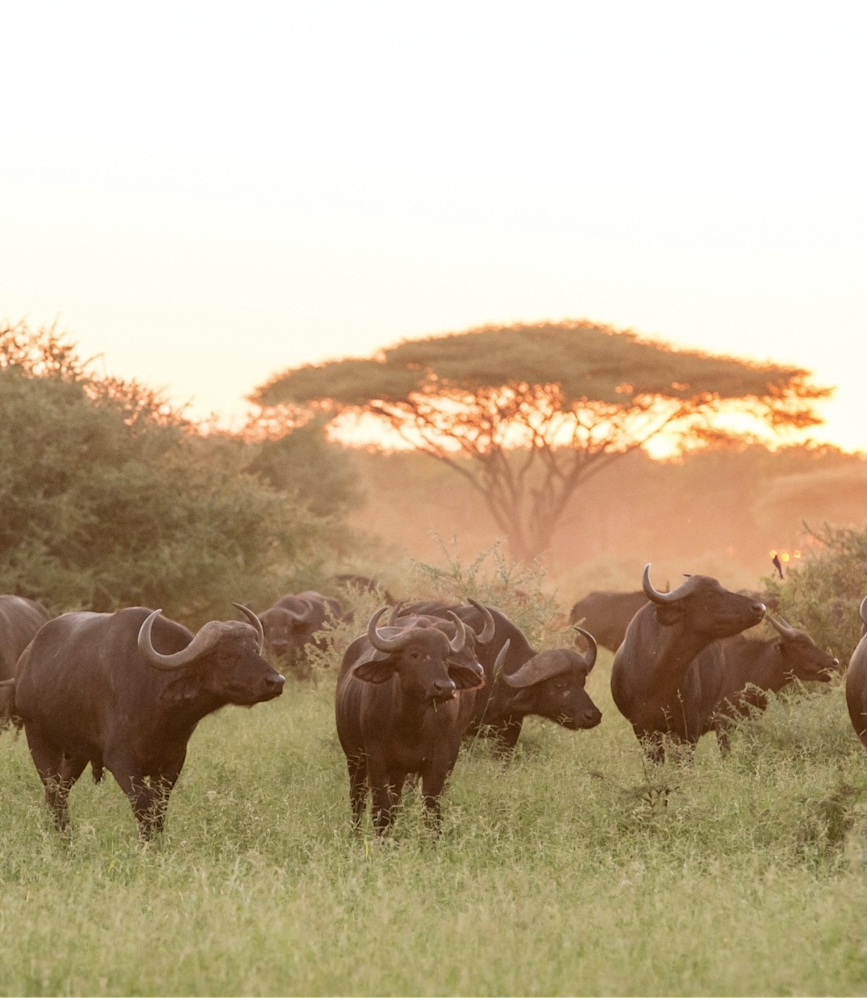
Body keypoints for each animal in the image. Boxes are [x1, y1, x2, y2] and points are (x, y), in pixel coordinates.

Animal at [14, 604, 284, 838]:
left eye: (254, 648)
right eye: (226, 655)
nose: (276, 681)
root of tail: (25, 663)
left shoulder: (173, 761)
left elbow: (159, 807)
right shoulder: (121, 761)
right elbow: (144, 805)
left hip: (77, 753)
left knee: (60, 791)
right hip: (38, 738)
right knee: (53, 791)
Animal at [335, 605, 486, 836]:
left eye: (446, 657)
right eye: (414, 654)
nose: (445, 687)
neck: (411, 725)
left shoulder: (439, 761)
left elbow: (431, 808)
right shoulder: (376, 760)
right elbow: (381, 808)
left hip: (399, 771)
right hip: (354, 757)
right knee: (357, 797)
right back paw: (356, 834)